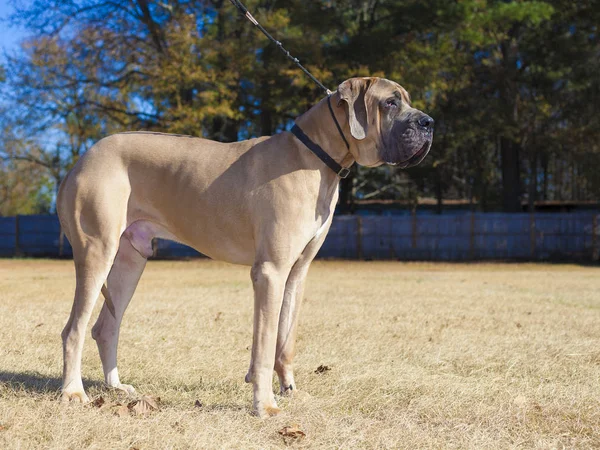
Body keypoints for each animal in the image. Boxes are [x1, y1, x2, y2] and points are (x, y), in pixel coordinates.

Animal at [57, 75, 432, 416]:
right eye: (390, 102)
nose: (429, 123)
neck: (314, 157)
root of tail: (83, 159)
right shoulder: (270, 272)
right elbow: (264, 346)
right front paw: (264, 404)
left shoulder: (296, 274)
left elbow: (285, 341)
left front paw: (290, 390)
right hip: (97, 252)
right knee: (73, 329)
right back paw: (73, 392)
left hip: (130, 261)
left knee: (106, 327)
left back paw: (116, 387)